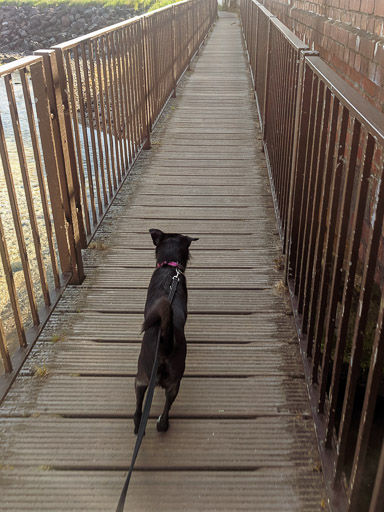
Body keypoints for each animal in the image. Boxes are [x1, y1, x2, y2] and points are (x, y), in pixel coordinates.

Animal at [134, 228, 198, 432]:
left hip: (141, 376)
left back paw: (138, 426)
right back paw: (163, 425)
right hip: (175, 382)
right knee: (168, 406)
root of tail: (165, 341)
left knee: (138, 408)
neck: (170, 268)